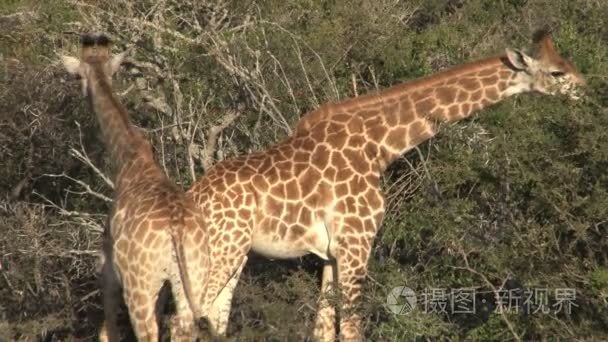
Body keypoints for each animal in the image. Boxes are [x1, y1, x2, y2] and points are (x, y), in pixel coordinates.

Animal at [61, 34, 209, 340]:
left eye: (78, 75)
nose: (83, 96)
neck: (128, 158)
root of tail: (177, 229)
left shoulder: (107, 268)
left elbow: (107, 331)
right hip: (194, 276)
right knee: (184, 326)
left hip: (138, 285)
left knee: (147, 330)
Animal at [186, 30, 584, 340]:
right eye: (557, 71)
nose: (586, 89)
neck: (379, 146)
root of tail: (191, 198)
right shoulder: (357, 240)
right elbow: (351, 328)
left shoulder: (330, 252)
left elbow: (323, 328)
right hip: (223, 248)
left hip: (232, 253)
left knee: (213, 317)